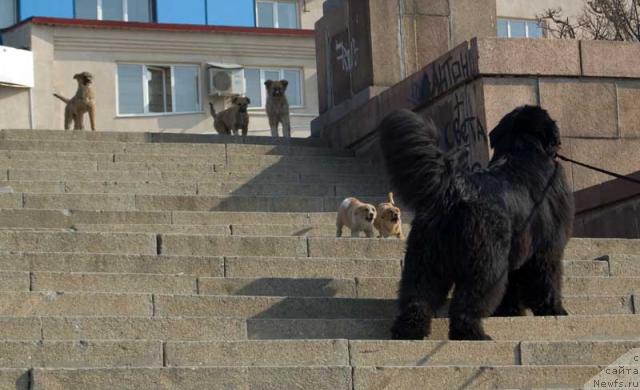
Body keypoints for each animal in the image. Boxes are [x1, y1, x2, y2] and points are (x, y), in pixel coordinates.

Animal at [380, 106, 576, 342]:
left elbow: (513, 287)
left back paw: (408, 331)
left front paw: (510, 311)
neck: (522, 148)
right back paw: (472, 333)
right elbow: (548, 280)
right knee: (467, 303)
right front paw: (554, 309)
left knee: (417, 296)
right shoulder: (547, 247)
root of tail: (454, 190)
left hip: (425, 260)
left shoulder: (516, 253)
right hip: (485, 264)